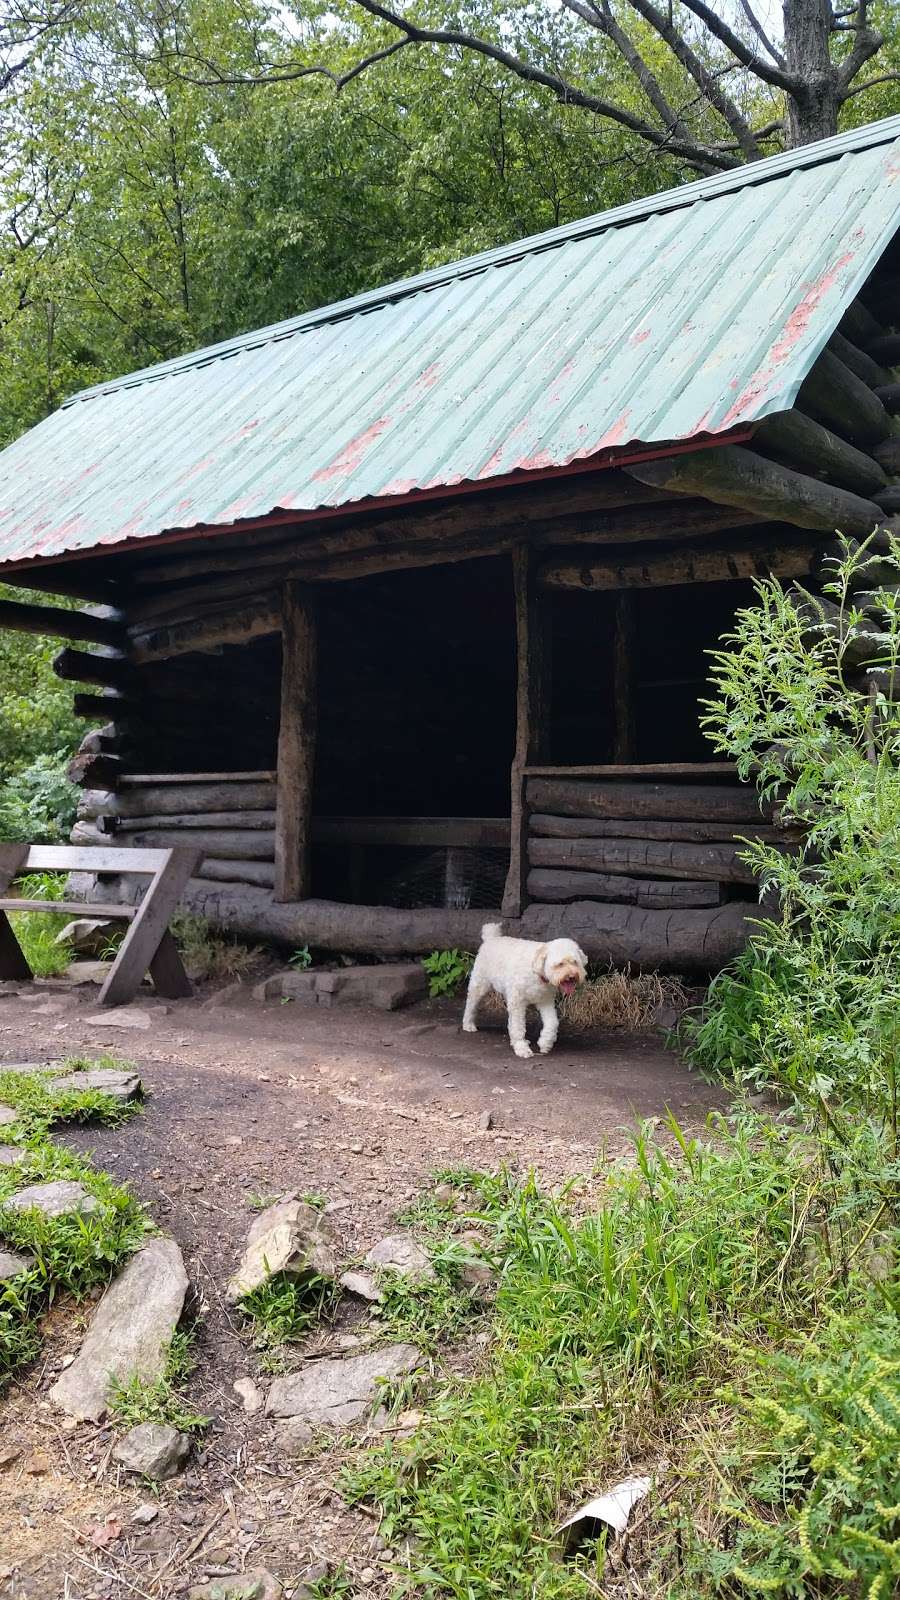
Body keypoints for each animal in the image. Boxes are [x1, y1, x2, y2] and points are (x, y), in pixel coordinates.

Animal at [461, 921, 589, 1056]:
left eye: (575, 962)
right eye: (560, 964)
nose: (572, 976)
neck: (536, 970)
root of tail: (491, 938)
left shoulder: (545, 1001)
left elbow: (552, 1023)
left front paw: (545, 1043)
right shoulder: (518, 1003)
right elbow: (518, 1026)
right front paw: (521, 1047)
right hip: (479, 985)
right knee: (471, 1004)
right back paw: (468, 1024)